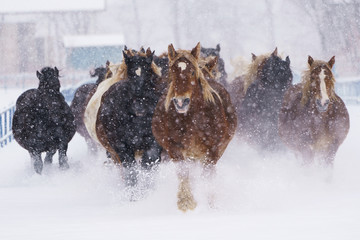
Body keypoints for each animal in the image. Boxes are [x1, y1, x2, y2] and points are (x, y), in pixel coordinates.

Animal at [151, 43, 238, 212]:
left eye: (192, 71)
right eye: (173, 72)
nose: (180, 102)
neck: (194, 119)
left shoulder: (212, 151)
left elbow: (208, 178)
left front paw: (211, 205)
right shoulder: (175, 148)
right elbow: (184, 173)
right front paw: (186, 202)